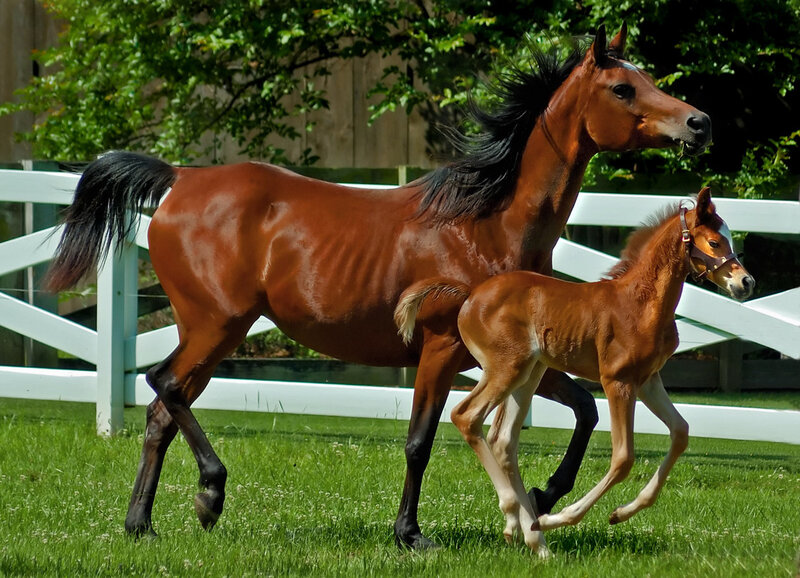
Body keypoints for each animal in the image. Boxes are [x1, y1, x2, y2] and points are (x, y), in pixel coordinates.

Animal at [44, 24, 712, 548]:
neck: (485, 222)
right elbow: (420, 440)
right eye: (623, 88)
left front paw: (544, 500)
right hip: (217, 325)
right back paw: (211, 493)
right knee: (164, 385)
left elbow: (583, 408)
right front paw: (411, 535)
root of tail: (179, 178)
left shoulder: (514, 358)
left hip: (209, 332)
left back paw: (142, 525)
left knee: (163, 408)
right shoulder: (445, 350)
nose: (699, 122)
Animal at [394, 187, 754, 555]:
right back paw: (519, 518)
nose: (746, 282)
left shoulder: (648, 380)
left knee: (503, 440)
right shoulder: (618, 381)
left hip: (529, 373)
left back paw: (533, 538)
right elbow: (623, 458)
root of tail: (470, 295)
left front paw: (621, 513)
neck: (641, 303)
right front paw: (560, 518)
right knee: (466, 416)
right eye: (714, 242)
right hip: (506, 368)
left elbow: (681, 432)